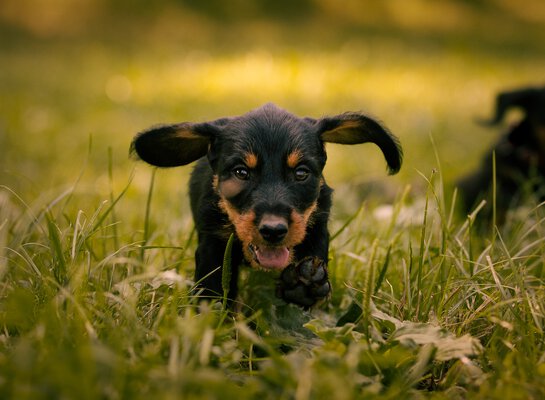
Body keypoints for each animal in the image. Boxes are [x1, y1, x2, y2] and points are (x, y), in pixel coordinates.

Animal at [130, 104, 402, 310]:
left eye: (301, 173)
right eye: (241, 172)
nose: (273, 230)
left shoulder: (317, 226)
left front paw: (305, 284)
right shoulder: (212, 244)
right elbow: (213, 289)